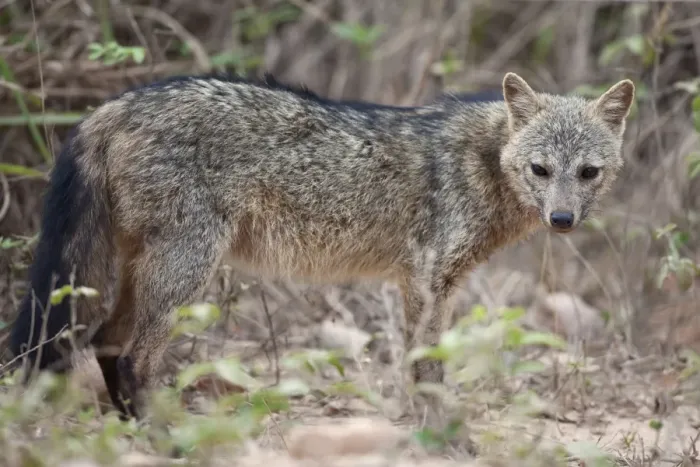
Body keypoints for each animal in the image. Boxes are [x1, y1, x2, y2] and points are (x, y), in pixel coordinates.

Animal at [7, 71, 634, 421]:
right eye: (540, 169)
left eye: (588, 173)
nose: (562, 219)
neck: (483, 159)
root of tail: (115, 103)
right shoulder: (428, 282)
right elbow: (427, 371)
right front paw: (441, 434)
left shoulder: (423, 285)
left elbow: (418, 366)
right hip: (184, 272)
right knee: (132, 357)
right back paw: (163, 436)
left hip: (146, 273)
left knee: (105, 343)